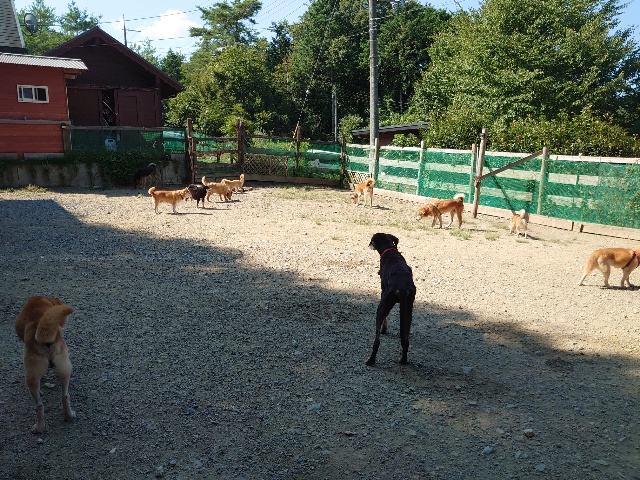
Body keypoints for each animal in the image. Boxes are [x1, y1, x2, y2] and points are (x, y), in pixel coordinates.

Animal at [15, 296, 76, 433]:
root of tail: (44, 340)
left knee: (39, 405)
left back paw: (38, 428)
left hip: (30, 374)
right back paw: (68, 416)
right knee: (65, 396)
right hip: (65, 368)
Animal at [366, 233, 416, 366]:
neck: (390, 250)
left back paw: (370, 360)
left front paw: (384, 329)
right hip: (408, 311)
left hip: (382, 307)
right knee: (405, 340)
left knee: (377, 341)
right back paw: (403, 359)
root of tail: (402, 287)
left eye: (372, 240)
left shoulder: (383, 292)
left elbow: (385, 319)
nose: (368, 244)